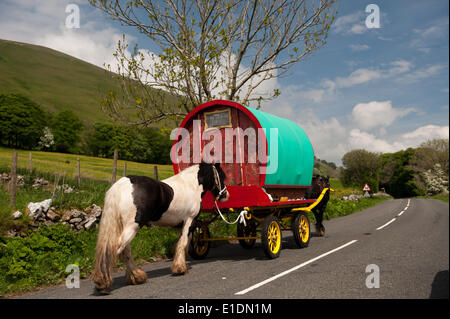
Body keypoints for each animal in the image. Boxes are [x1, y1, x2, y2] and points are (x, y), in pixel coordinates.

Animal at [93, 164, 230, 294]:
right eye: (221, 175)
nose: (225, 195)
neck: (192, 185)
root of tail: (121, 186)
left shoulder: (181, 226)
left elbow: (181, 244)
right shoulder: (189, 221)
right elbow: (183, 243)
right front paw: (180, 268)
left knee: (125, 252)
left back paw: (136, 277)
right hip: (132, 227)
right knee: (113, 251)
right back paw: (103, 283)